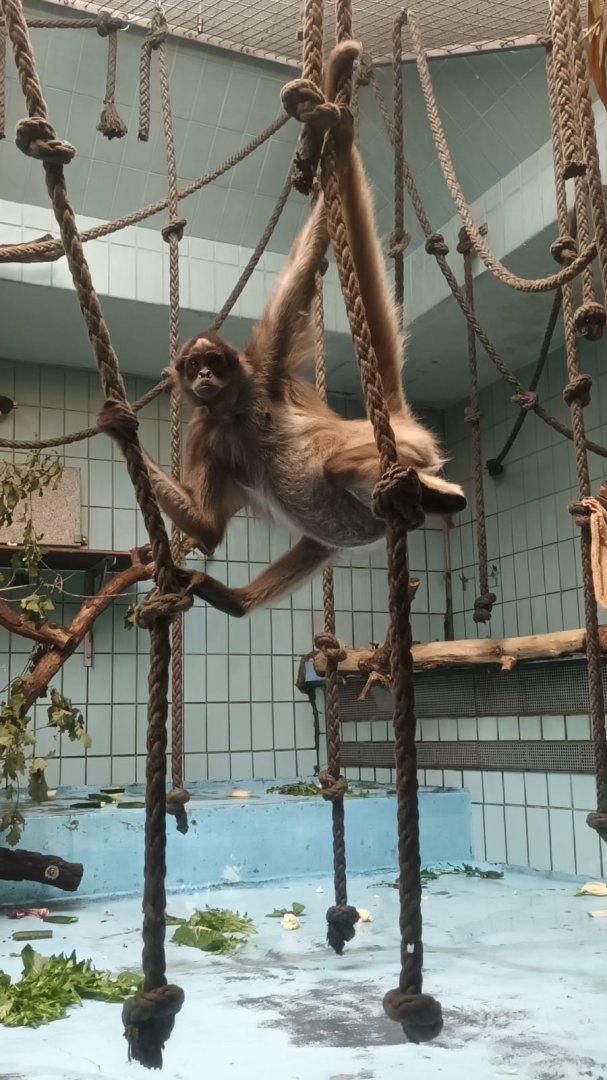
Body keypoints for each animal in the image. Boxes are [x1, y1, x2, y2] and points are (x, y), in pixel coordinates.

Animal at [133, 40, 466, 619]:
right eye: (193, 367)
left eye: (212, 363)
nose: (203, 379)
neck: (235, 412)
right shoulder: (205, 429)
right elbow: (207, 527)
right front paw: (116, 425)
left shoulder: (263, 363)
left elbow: (305, 265)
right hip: (344, 525)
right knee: (319, 540)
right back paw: (233, 601)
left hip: (395, 442)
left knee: (339, 467)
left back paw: (428, 492)